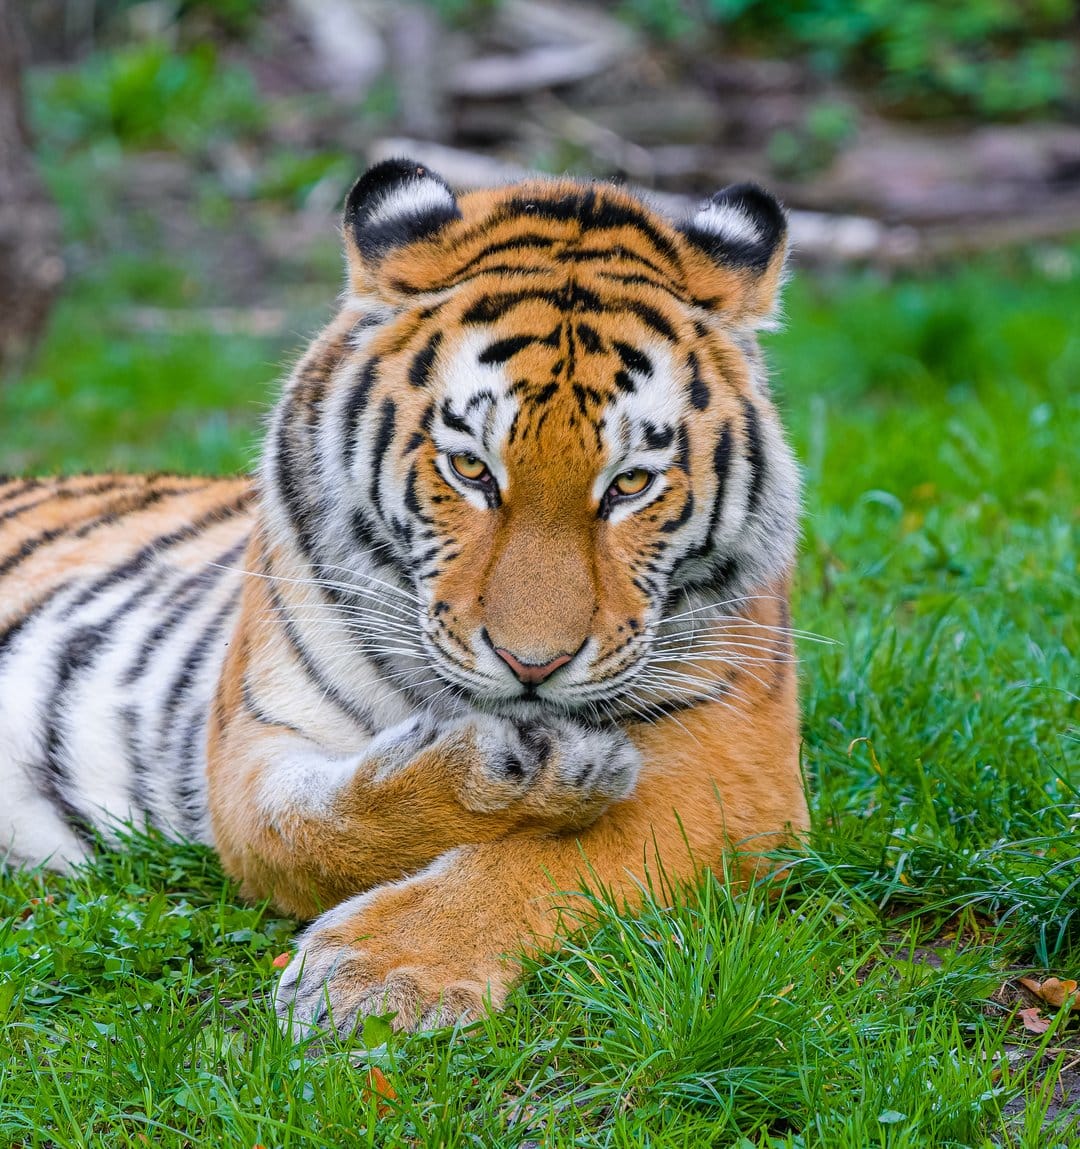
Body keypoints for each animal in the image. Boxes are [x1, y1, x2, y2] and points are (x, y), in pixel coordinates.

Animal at [0, 159, 807, 1034]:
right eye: (471, 468)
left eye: (630, 484)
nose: (533, 666)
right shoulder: (249, 746)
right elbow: (312, 828)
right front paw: (521, 769)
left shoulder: (737, 769)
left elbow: (569, 858)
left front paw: (383, 971)